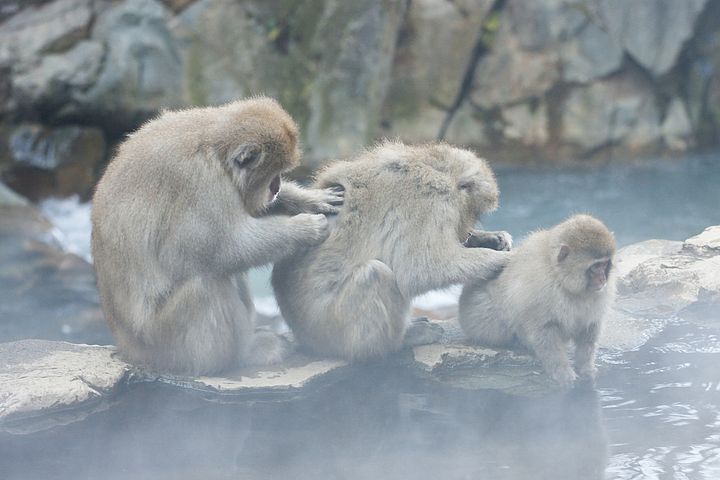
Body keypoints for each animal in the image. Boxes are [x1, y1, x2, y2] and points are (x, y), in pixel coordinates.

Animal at [91, 96, 342, 376]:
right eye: (272, 175)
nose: (276, 188)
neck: (212, 147)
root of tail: (129, 349)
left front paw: (307, 199)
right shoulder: (200, 184)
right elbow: (223, 247)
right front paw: (305, 229)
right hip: (165, 342)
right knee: (207, 282)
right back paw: (243, 354)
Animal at [272, 141, 512, 362]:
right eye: (476, 212)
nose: (466, 232)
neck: (433, 165)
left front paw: (492, 239)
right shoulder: (429, 201)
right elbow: (421, 268)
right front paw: (500, 259)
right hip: (331, 329)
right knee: (376, 274)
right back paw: (401, 341)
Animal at [458, 214, 616, 386]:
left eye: (604, 264)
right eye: (595, 267)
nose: (602, 279)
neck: (562, 279)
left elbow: (589, 330)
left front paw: (586, 368)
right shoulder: (542, 291)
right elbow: (544, 332)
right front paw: (561, 371)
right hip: (478, 318)